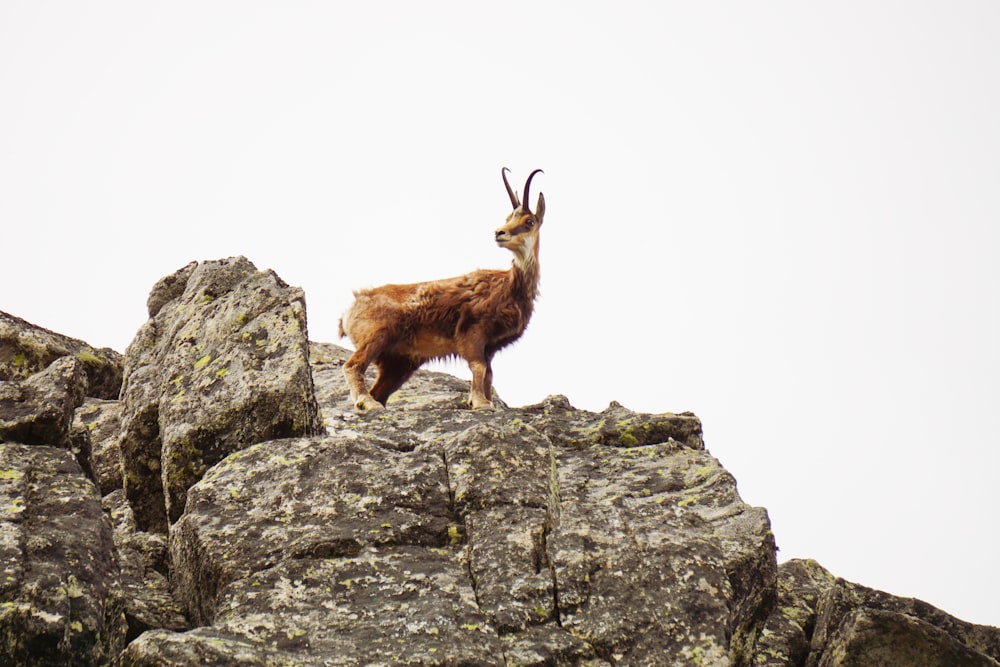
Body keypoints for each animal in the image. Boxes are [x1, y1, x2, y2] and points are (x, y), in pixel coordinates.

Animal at [342, 167, 548, 412]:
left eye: (529, 221)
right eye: (508, 218)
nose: (500, 233)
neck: (510, 287)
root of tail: (348, 311)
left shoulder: (490, 346)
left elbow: (489, 374)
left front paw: (485, 400)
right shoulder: (471, 332)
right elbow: (478, 367)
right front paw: (480, 403)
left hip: (398, 362)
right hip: (378, 334)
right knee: (352, 365)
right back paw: (367, 402)